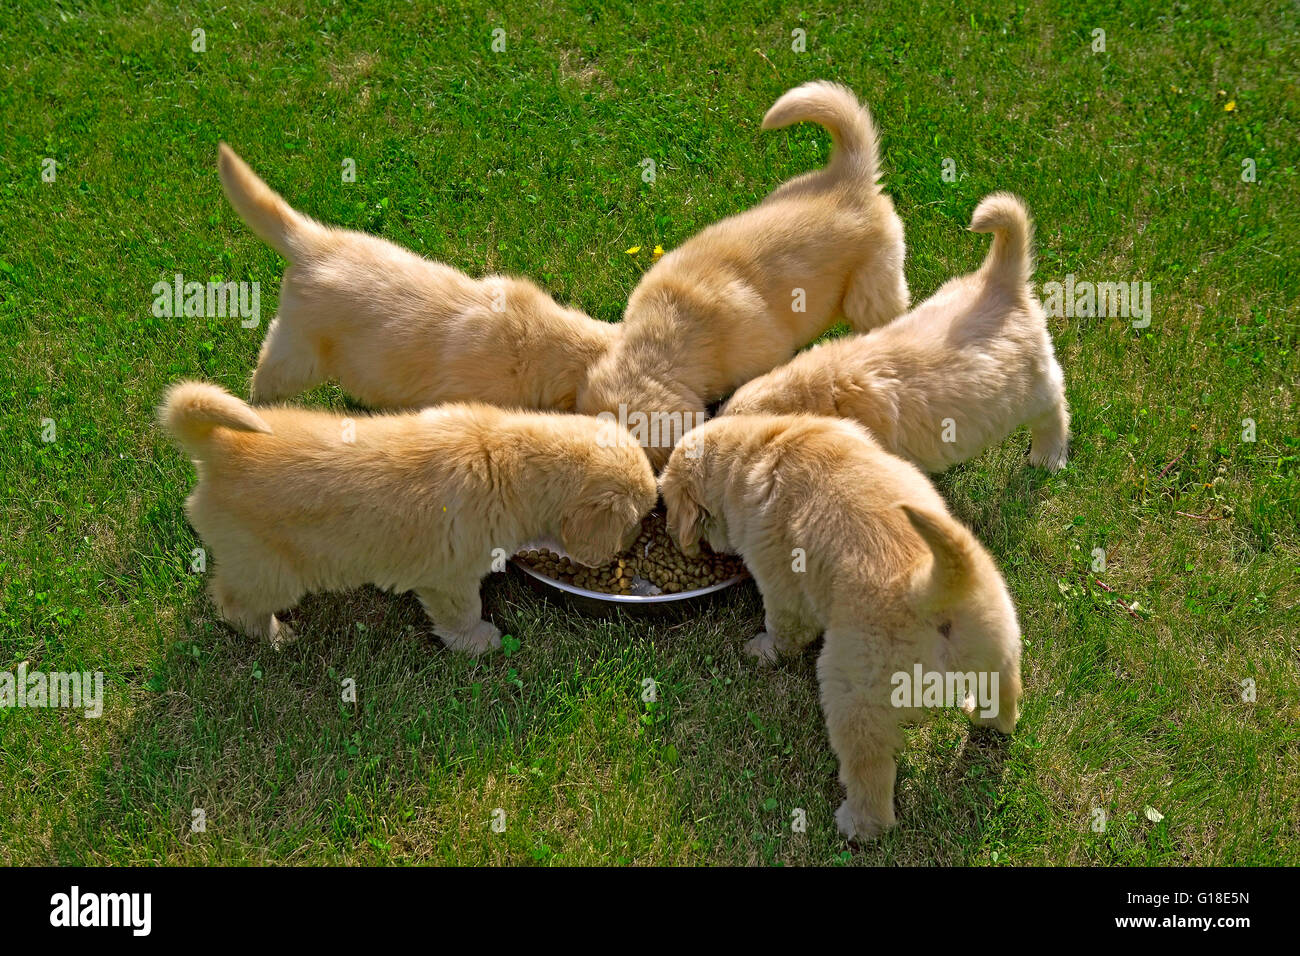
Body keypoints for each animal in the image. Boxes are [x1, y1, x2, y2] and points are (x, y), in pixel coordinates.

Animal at [157, 382, 655, 658]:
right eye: (635, 520)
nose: (631, 548)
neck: (503, 458)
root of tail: (219, 447)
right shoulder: (451, 578)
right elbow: (464, 613)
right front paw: (478, 642)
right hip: (271, 569)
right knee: (233, 604)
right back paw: (276, 636)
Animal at [660, 416, 1024, 842]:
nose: (670, 535)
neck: (759, 445)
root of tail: (928, 586)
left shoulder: (779, 580)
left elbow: (784, 626)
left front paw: (764, 650)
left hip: (853, 693)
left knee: (870, 771)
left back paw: (858, 824)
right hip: (997, 643)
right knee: (1004, 697)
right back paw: (987, 718)